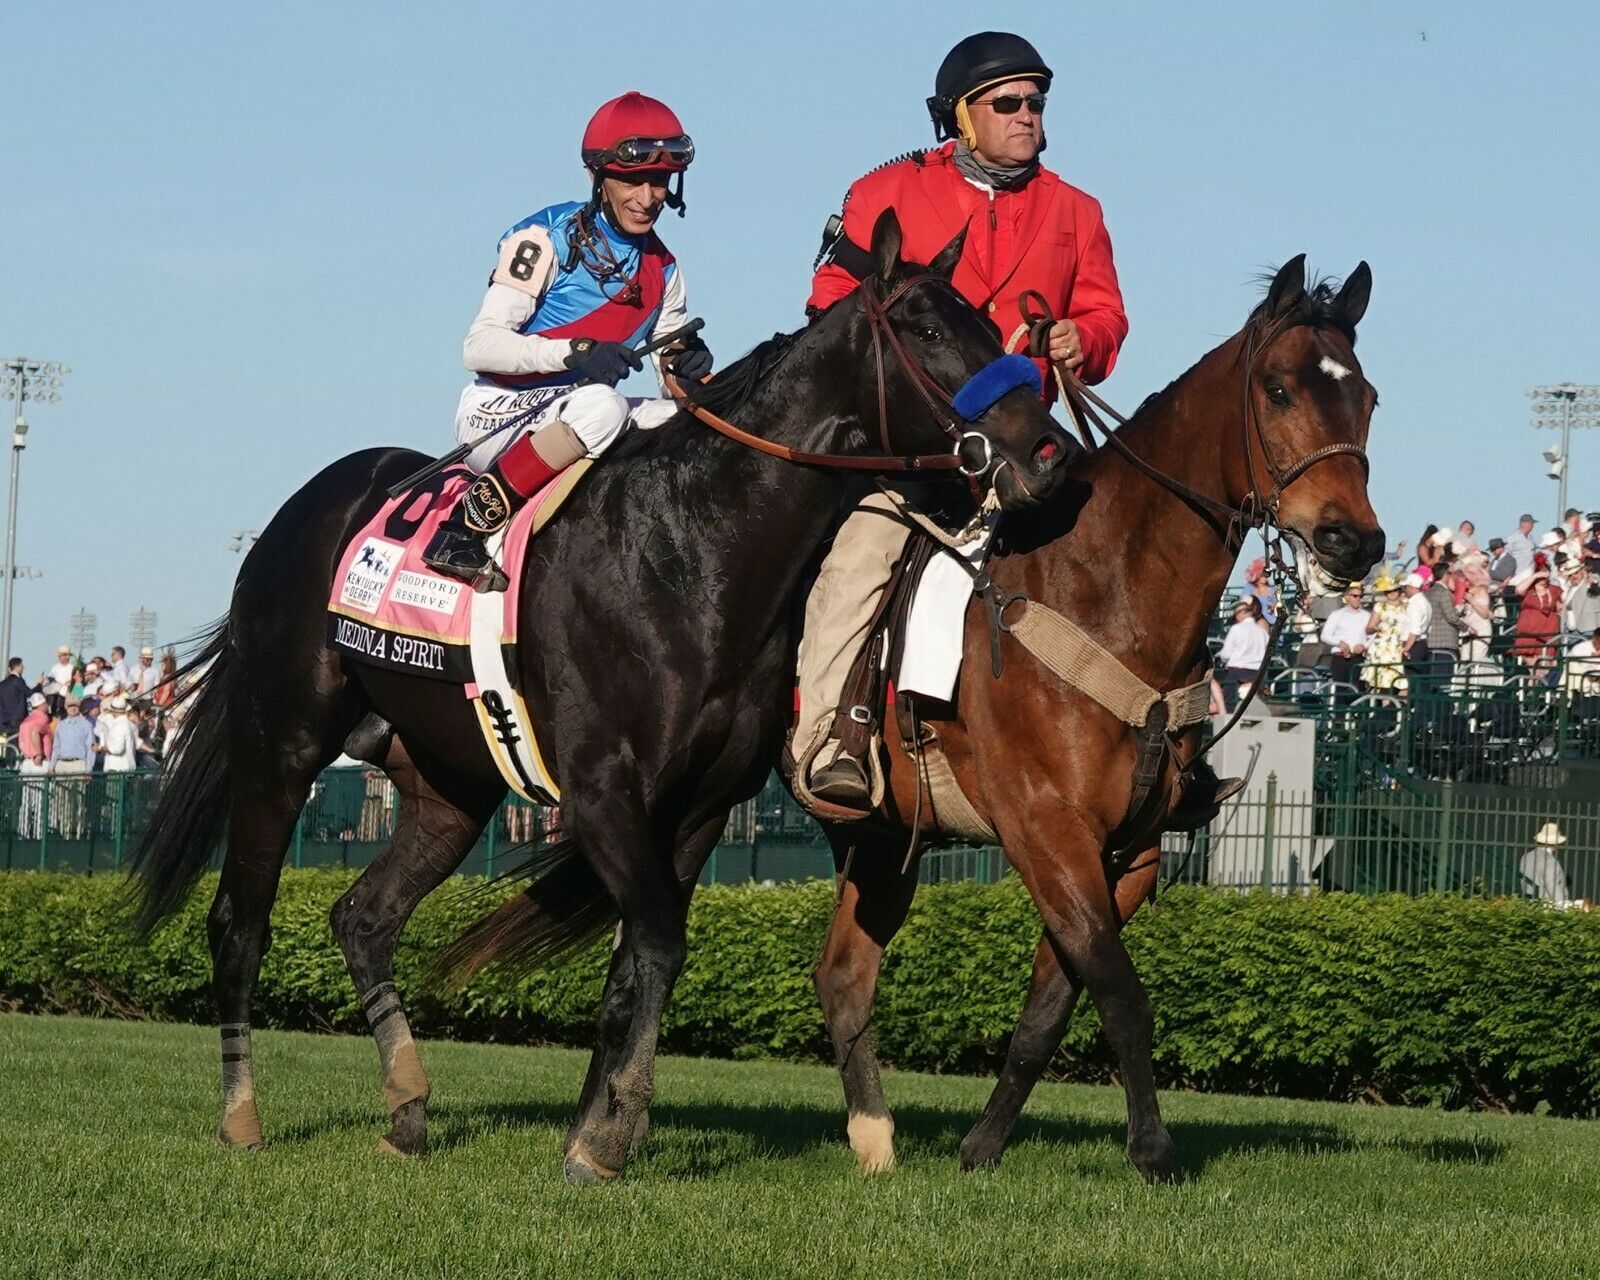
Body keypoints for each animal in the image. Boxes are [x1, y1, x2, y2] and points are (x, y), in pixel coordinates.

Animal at [124, 212, 1075, 1177]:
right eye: (926, 330)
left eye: (995, 327)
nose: (1050, 452)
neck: (693, 550)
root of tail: (296, 513)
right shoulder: (603, 789)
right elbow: (655, 942)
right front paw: (610, 1134)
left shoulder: (700, 803)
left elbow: (637, 964)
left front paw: (598, 1128)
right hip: (281, 744)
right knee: (238, 920)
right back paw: (242, 1114)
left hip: (448, 784)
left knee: (363, 917)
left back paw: (409, 1107)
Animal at [812, 254, 1388, 1184]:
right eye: (1277, 389)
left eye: (1367, 396)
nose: (1352, 541)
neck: (1101, 587)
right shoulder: (1048, 829)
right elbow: (1119, 991)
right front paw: (1152, 1149)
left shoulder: (1128, 850)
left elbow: (1054, 1001)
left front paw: (982, 1144)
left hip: (880, 836)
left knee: (843, 972)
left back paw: (873, 1136)